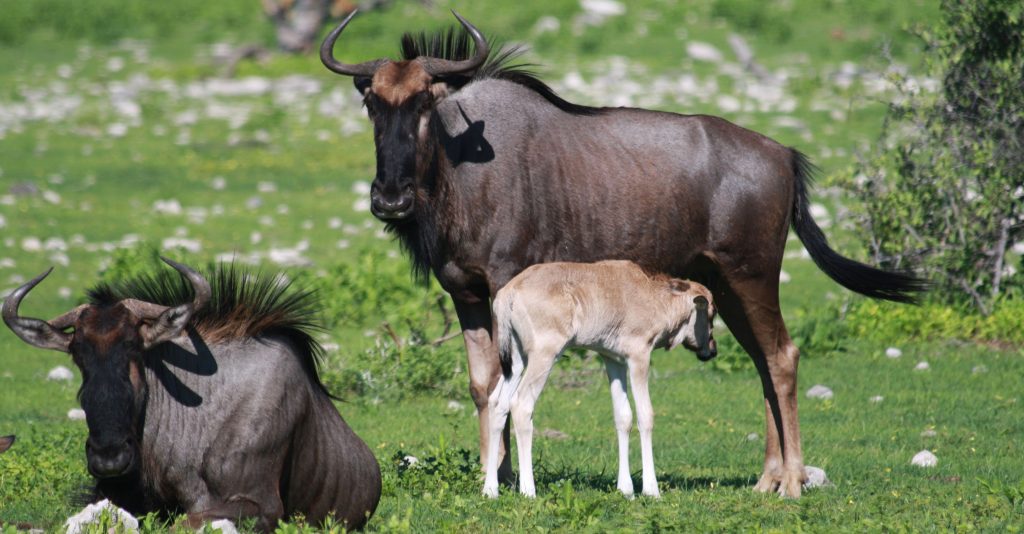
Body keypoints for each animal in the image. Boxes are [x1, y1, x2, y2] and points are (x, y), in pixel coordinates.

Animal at [483, 260, 716, 498]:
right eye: (711, 313)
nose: (711, 350)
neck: (651, 295)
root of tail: (509, 293)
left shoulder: (613, 361)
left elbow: (623, 416)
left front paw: (626, 489)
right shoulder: (639, 357)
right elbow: (645, 415)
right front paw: (651, 490)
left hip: (516, 360)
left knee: (497, 402)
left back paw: (490, 489)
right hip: (544, 356)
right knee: (521, 404)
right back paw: (528, 490)